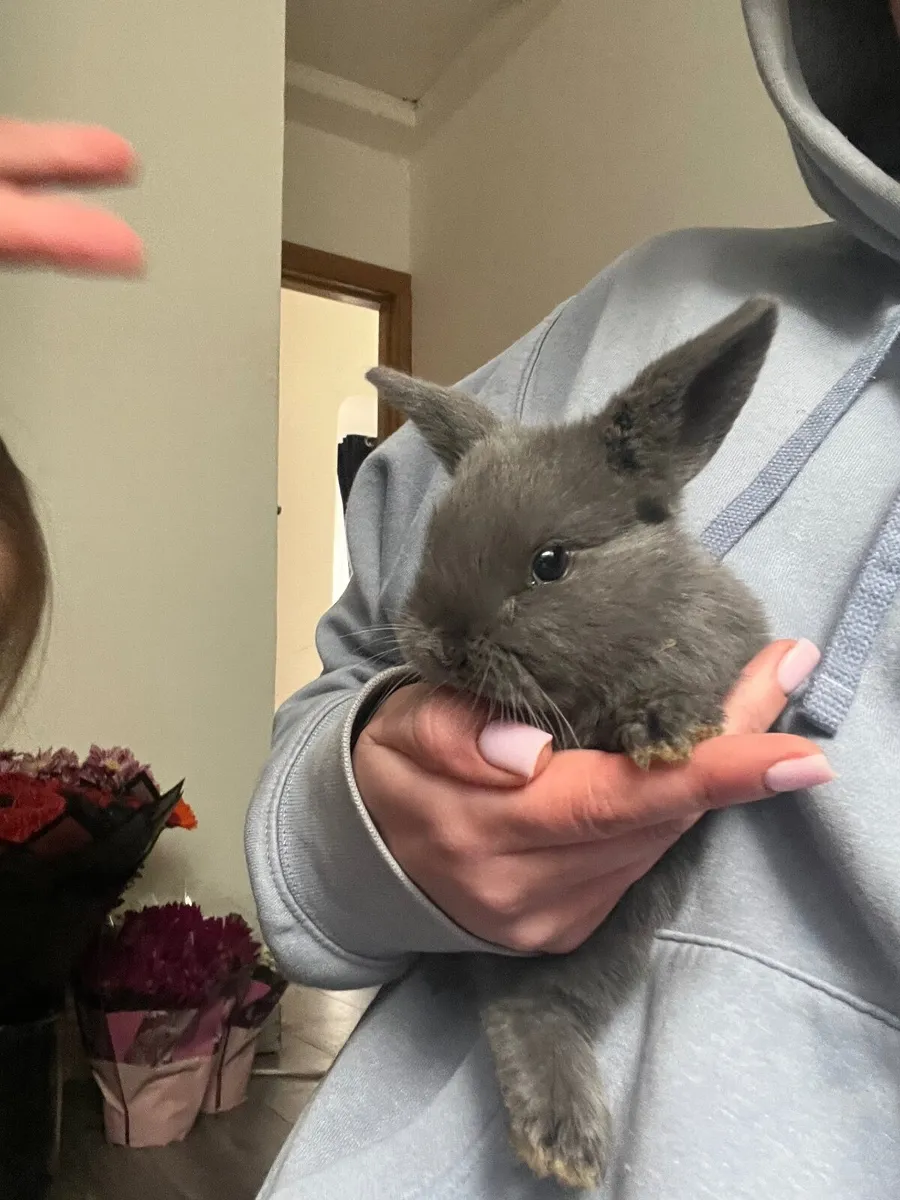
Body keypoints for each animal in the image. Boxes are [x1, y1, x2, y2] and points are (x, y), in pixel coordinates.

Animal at [365, 296, 777, 1191]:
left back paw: (559, 1140)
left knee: (534, 1006)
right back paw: (560, 1140)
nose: (440, 644)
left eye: (551, 563)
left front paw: (662, 728)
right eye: (434, 540)